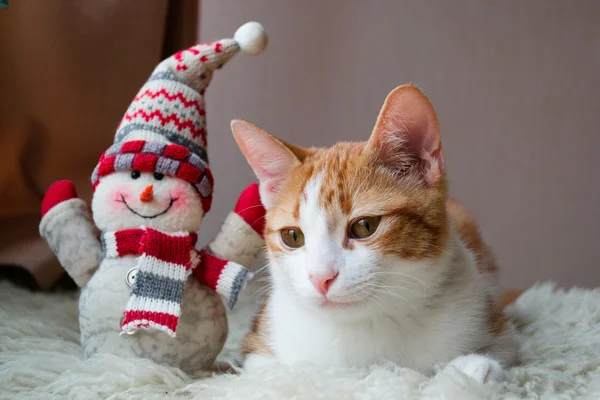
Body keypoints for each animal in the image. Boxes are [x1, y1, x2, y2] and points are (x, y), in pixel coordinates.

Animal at [232, 85, 516, 384]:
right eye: (292, 237)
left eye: (364, 226)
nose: (321, 278)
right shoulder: (258, 348)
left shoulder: (496, 327)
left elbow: (500, 354)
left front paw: (468, 371)